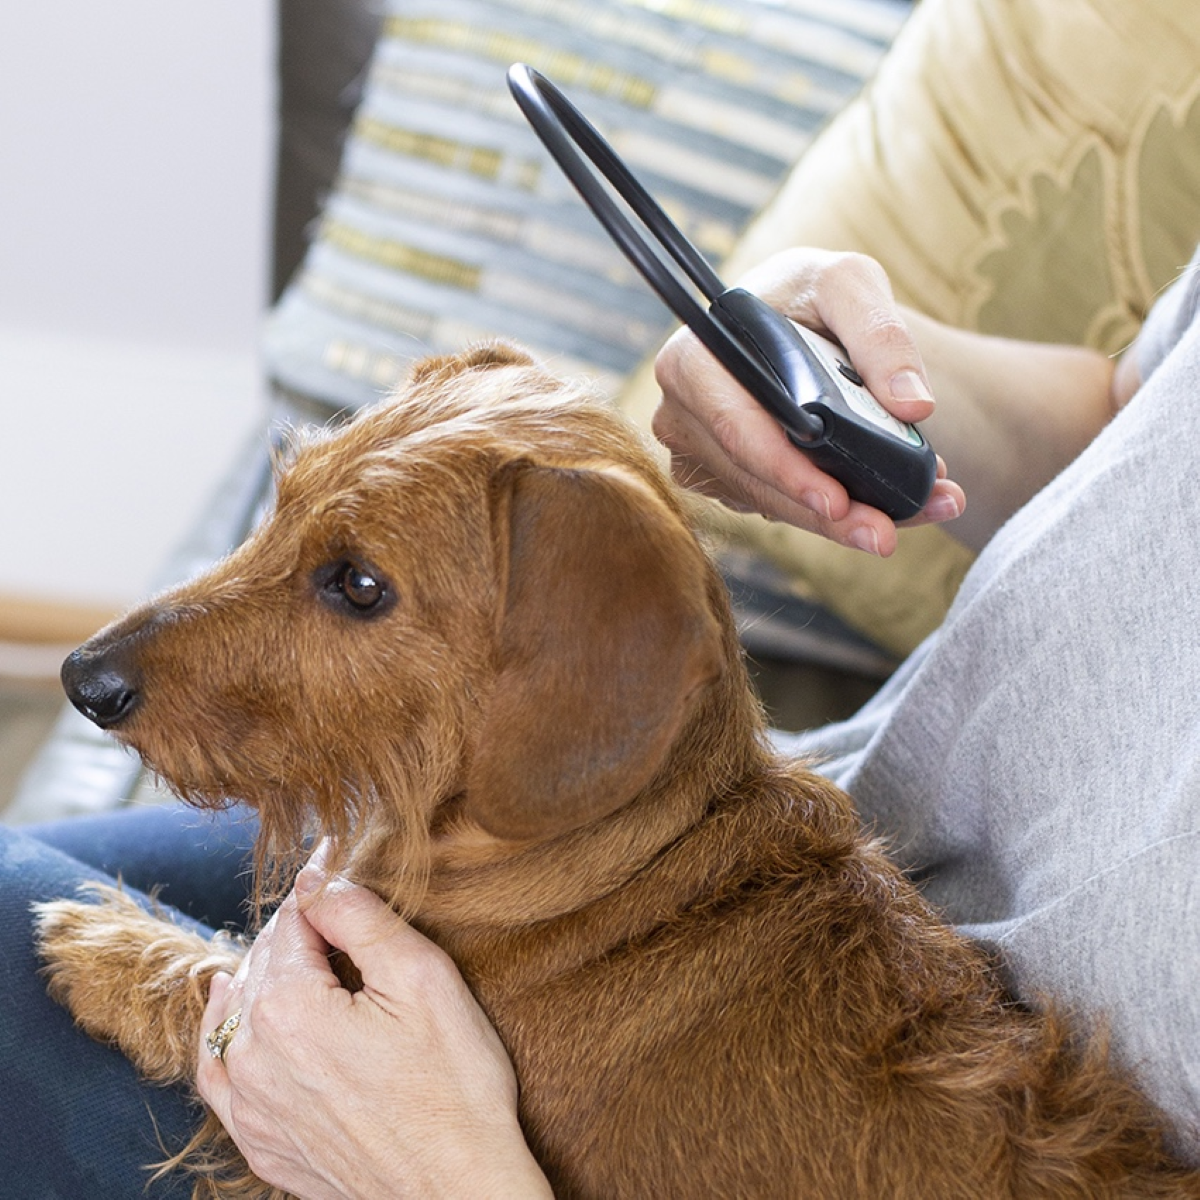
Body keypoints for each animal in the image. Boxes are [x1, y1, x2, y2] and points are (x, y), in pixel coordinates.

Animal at [32, 343, 1195, 1195]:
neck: (595, 866)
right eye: (282, 504)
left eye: (358, 584)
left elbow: (223, 982)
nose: (82, 678)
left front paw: (108, 947)